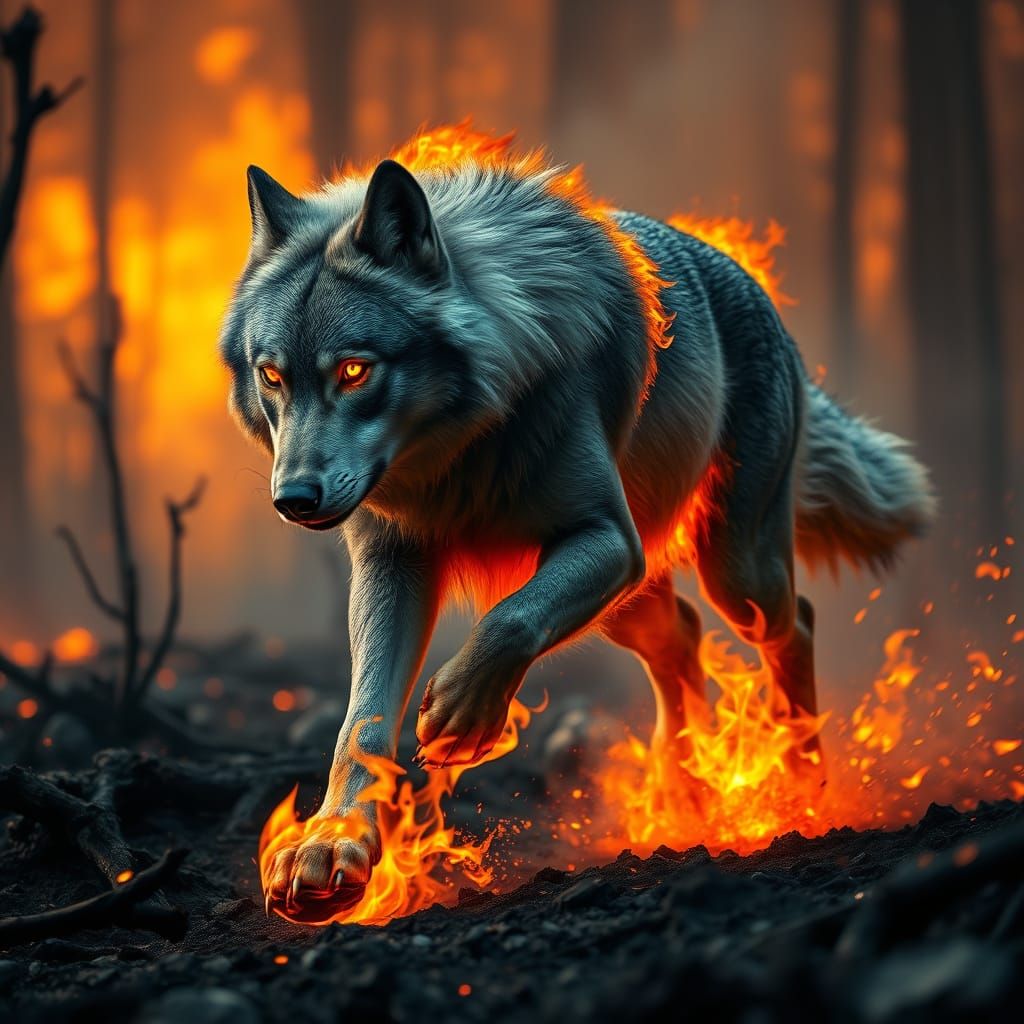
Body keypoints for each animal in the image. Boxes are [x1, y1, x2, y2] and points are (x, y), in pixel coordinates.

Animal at [220, 129, 935, 921]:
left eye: (353, 370)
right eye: (273, 377)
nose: (294, 498)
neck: (459, 455)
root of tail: (748, 282)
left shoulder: (605, 539)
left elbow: (506, 621)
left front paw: (464, 716)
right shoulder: (390, 565)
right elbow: (362, 720)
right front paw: (330, 844)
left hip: (731, 572)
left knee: (793, 622)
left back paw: (799, 778)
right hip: (629, 606)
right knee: (682, 639)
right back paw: (684, 791)